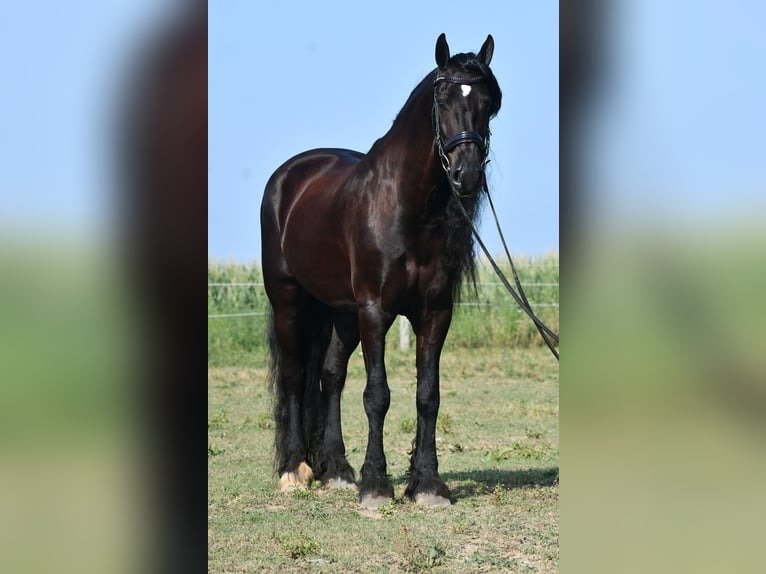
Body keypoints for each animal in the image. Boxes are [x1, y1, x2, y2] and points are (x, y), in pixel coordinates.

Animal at [260, 33, 501, 509]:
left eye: (488, 102)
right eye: (442, 98)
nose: (465, 176)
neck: (406, 209)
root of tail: (289, 175)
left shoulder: (435, 313)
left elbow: (427, 396)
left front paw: (427, 484)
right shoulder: (375, 310)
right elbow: (377, 395)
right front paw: (376, 485)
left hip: (340, 312)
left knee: (329, 376)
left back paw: (336, 469)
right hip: (290, 301)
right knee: (296, 376)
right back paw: (294, 469)